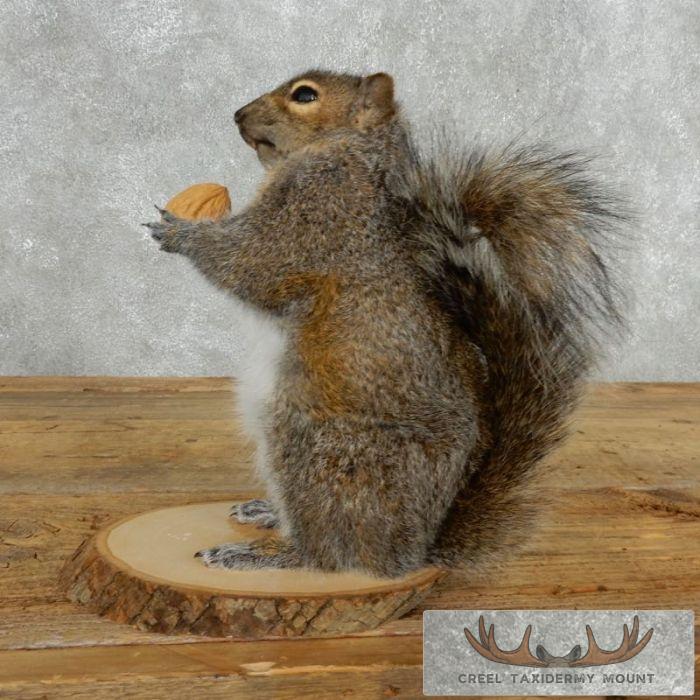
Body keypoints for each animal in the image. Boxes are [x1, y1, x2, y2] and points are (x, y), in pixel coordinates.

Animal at [145, 70, 624, 578]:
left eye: (305, 95)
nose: (238, 115)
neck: (351, 152)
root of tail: (415, 550)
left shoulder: (322, 211)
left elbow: (256, 262)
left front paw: (180, 232)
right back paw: (266, 512)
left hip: (322, 453)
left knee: (327, 554)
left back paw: (262, 555)